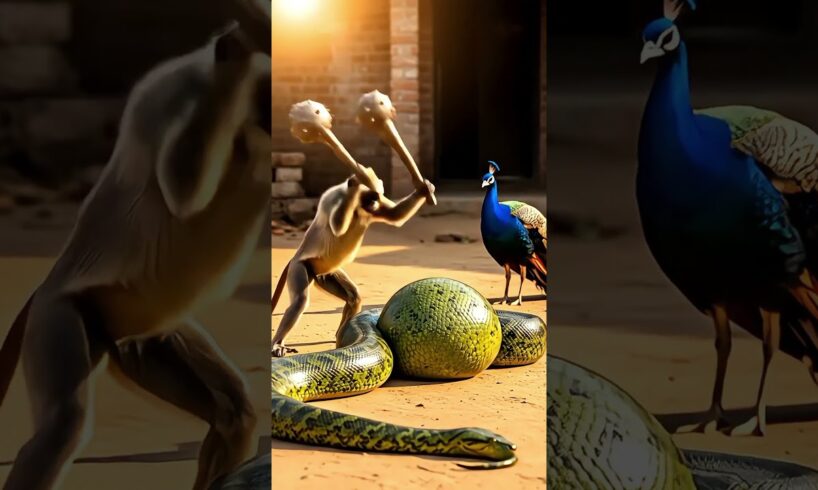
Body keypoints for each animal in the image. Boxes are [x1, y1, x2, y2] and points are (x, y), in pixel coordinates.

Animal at [0, 23, 271, 490]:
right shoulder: (180, 91)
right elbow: (183, 193)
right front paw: (232, 55)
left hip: (144, 337)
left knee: (235, 413)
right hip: (63, 310)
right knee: (61, 426)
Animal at [271, 168, 435, 358]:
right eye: (371, 198)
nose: (374, 203)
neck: (356, 207)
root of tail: (296, 256)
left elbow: (394, 215)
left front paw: (424, 189)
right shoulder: (333, 197)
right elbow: (337, 226)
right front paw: (353, 183)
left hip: (325, 274)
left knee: (353, 297)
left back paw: (341, 335)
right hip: (301, 265)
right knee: (299, 300)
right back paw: (278, 343)